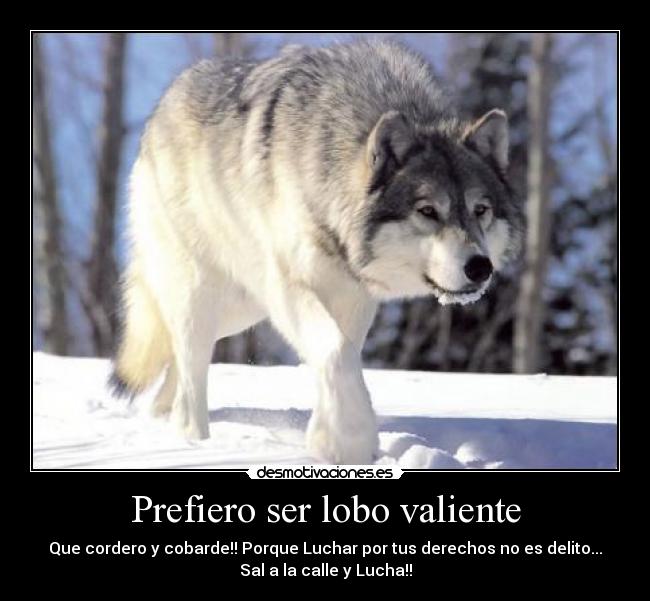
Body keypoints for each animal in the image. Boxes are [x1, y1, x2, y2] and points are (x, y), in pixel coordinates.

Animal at [110, 40, 524, 464]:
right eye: (428, 211)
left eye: (480, 210)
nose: (481, 268)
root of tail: (162, 106)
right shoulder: (289, 287)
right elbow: (336, 351)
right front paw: (349, 440)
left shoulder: (353, 296)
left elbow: (343, 356)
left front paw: (329, 438)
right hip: (206, 297)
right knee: (190, 369)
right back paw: (192, 439)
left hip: (240, 310)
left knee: (177, 359)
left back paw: (162, 416)